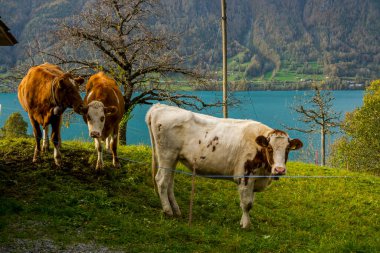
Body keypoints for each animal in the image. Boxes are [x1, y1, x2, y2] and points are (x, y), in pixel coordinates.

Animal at [145, 104, 302, 229]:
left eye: (288, 149)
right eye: (270, 148)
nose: (280, 169)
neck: (265, 173)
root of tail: (160, 106)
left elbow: (250, 202)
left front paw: (243, 222)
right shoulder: (245, 176)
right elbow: (247, 203)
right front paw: (246, 225)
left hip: (173, 159)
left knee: (169, 183)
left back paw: (176, 211)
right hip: (167, 154)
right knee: (161, 181)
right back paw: (168, 211)